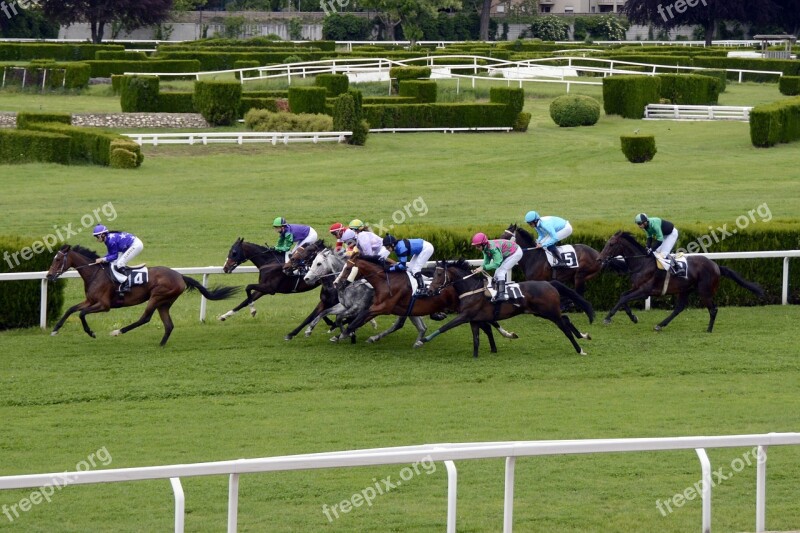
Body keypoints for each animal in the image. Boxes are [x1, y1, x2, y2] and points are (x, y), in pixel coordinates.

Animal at [45, 244, 239, 344]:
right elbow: (71, 309)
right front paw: (55, 330)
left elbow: (82, 314)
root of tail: (180, 276)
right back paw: (160, 345)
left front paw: (90, 332)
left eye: (57, 259)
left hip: (157, 297)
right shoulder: (90, 300)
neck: (95, 273)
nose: (48, 276)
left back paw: (117, 332)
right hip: (164, 303)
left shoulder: (104, 305)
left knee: (145, 318)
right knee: (168, 325)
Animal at [332, 255, 516, 356]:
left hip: (466, 309)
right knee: (487, 324)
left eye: (347, 269)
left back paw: (505, 336)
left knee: (489, 323)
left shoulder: (382, 307)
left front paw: (344, 333)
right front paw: (345, 332)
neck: (386, 280)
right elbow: (360, 318)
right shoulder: (400, 308)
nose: (336, 283)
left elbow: (360, 318)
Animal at [412, 260, 592, 356]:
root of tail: (549, 283)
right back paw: (584, 335)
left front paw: (421, 341)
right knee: (566, 319)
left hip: (549, 312)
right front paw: (476, 356)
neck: (471, 288)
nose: (430, 291)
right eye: (432, 274)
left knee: (564, 327)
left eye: (439, 274)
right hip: (542, 312)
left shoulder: (464, 316)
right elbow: (476, 338)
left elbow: (445, 327)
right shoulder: (474, 318)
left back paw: (580, 349)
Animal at [596, 231, 764, 330]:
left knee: (713, 309)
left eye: (611, 244)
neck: (642, 263)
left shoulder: (644, 291)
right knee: (679, 308)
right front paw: (633, 317)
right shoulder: (637, 288)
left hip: (705, 292)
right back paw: (660, 325)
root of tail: (716, 265)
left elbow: (623, 298)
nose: (599, 259)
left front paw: (608, 317)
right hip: (685, 290)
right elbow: (623, 297)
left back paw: (709, 329)